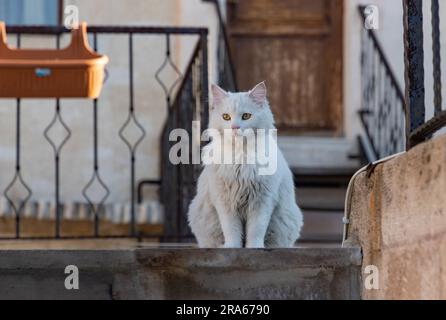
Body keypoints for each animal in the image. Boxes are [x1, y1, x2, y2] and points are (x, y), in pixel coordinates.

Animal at [188, 81, 304, 249]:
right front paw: (231, 247)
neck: (241, 158)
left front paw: (255, 248)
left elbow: (256, 230)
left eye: (246, 116)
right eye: (226, 117)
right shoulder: (225, 202)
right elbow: (231, 231)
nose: (234, 127)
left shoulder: (262, 201)